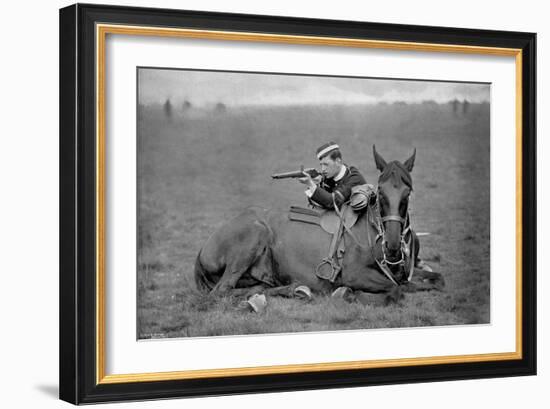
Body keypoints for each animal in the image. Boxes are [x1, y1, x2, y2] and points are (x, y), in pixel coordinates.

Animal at [194, 147, 444, 306]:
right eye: (381, 192)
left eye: (407, 193)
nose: (392, 246)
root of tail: (203, 249)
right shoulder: (355, 275)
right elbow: (396, 291)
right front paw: (348, 294)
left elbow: (436, 279)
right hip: (255, 234)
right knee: (221, 292)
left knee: (254, 288)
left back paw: (293, 289)